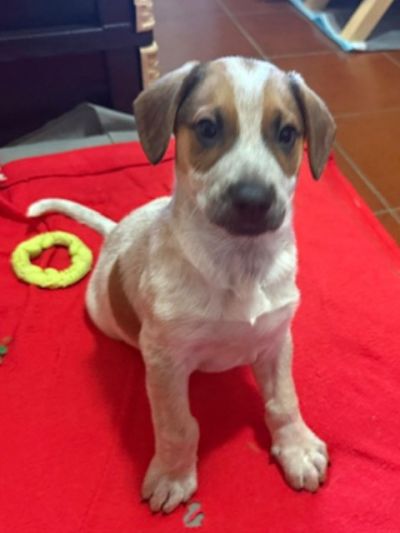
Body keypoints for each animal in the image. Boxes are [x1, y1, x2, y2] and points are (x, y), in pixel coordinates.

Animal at [28, 57, 336, 514]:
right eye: (208, 127)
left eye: (287, 134)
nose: (253, 200)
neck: (238, 265)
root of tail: (114, 231)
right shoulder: (165, 359)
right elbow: (178, 424)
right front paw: (173, 475)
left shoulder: (277, 338)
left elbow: (283, 400)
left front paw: (296, 447)